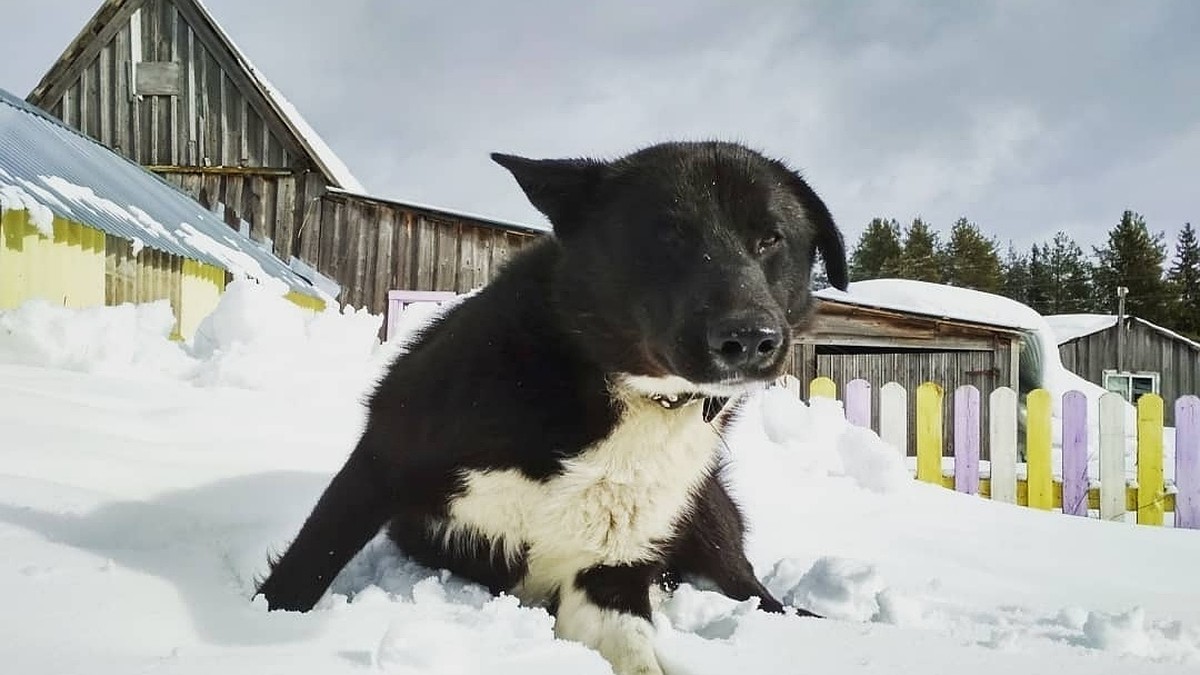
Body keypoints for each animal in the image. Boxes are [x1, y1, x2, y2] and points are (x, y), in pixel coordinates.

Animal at [258, 139, 849, 667]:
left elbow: (640, 656)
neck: (623, 390)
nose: (749, 338)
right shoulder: (381, 460)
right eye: (669, 235)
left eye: (770, 239)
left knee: (754, 590)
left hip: (706, 514)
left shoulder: (608, 572)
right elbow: (300, 574)